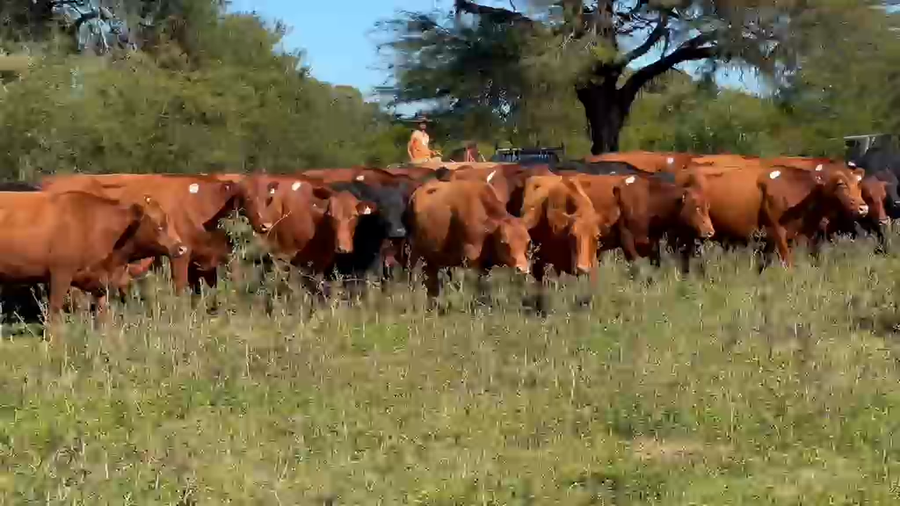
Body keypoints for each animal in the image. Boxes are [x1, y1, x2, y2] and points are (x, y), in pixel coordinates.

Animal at [0, 191, 185, 322]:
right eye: (159, 225)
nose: (182, 248)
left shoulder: (100, 282)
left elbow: (102, 314)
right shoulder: (60, 274)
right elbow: (55, 312)